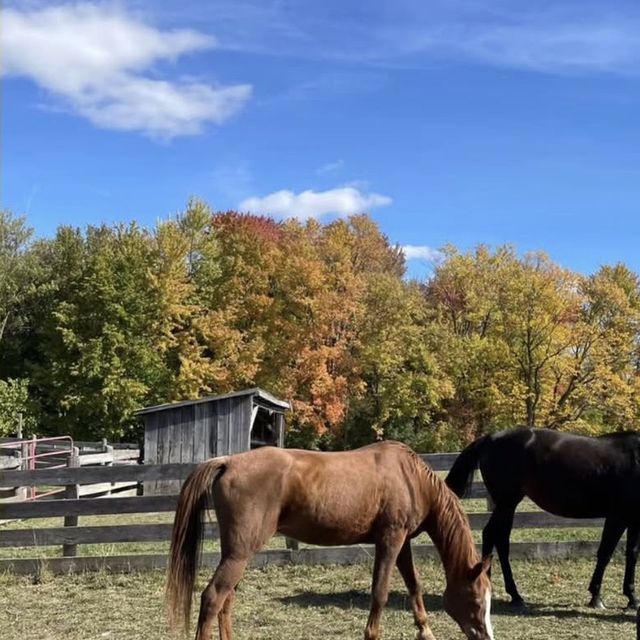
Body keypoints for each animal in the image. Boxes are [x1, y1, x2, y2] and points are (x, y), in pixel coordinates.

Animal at [166, 440, 494, 640]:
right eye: (477, 600)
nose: (486, 636)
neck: (411, 478)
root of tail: (228, 462)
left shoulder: (403, 543)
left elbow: (414, 585)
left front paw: (425, 631)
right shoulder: (390, 540)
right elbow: (380, 592)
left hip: (236, 553)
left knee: (226, 599)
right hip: (239, 553)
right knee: (212, 597)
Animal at [446, 426, 640, 610]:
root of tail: (490, 438)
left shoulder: (633, 519)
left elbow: (632, 554)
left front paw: (632, 599)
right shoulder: (617, 517)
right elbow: (605, 554)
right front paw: (596, 597)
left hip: (508, 505)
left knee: (499, 539)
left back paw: (511, 595)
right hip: (506, 502)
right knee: (492, 535)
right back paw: (509, 594)